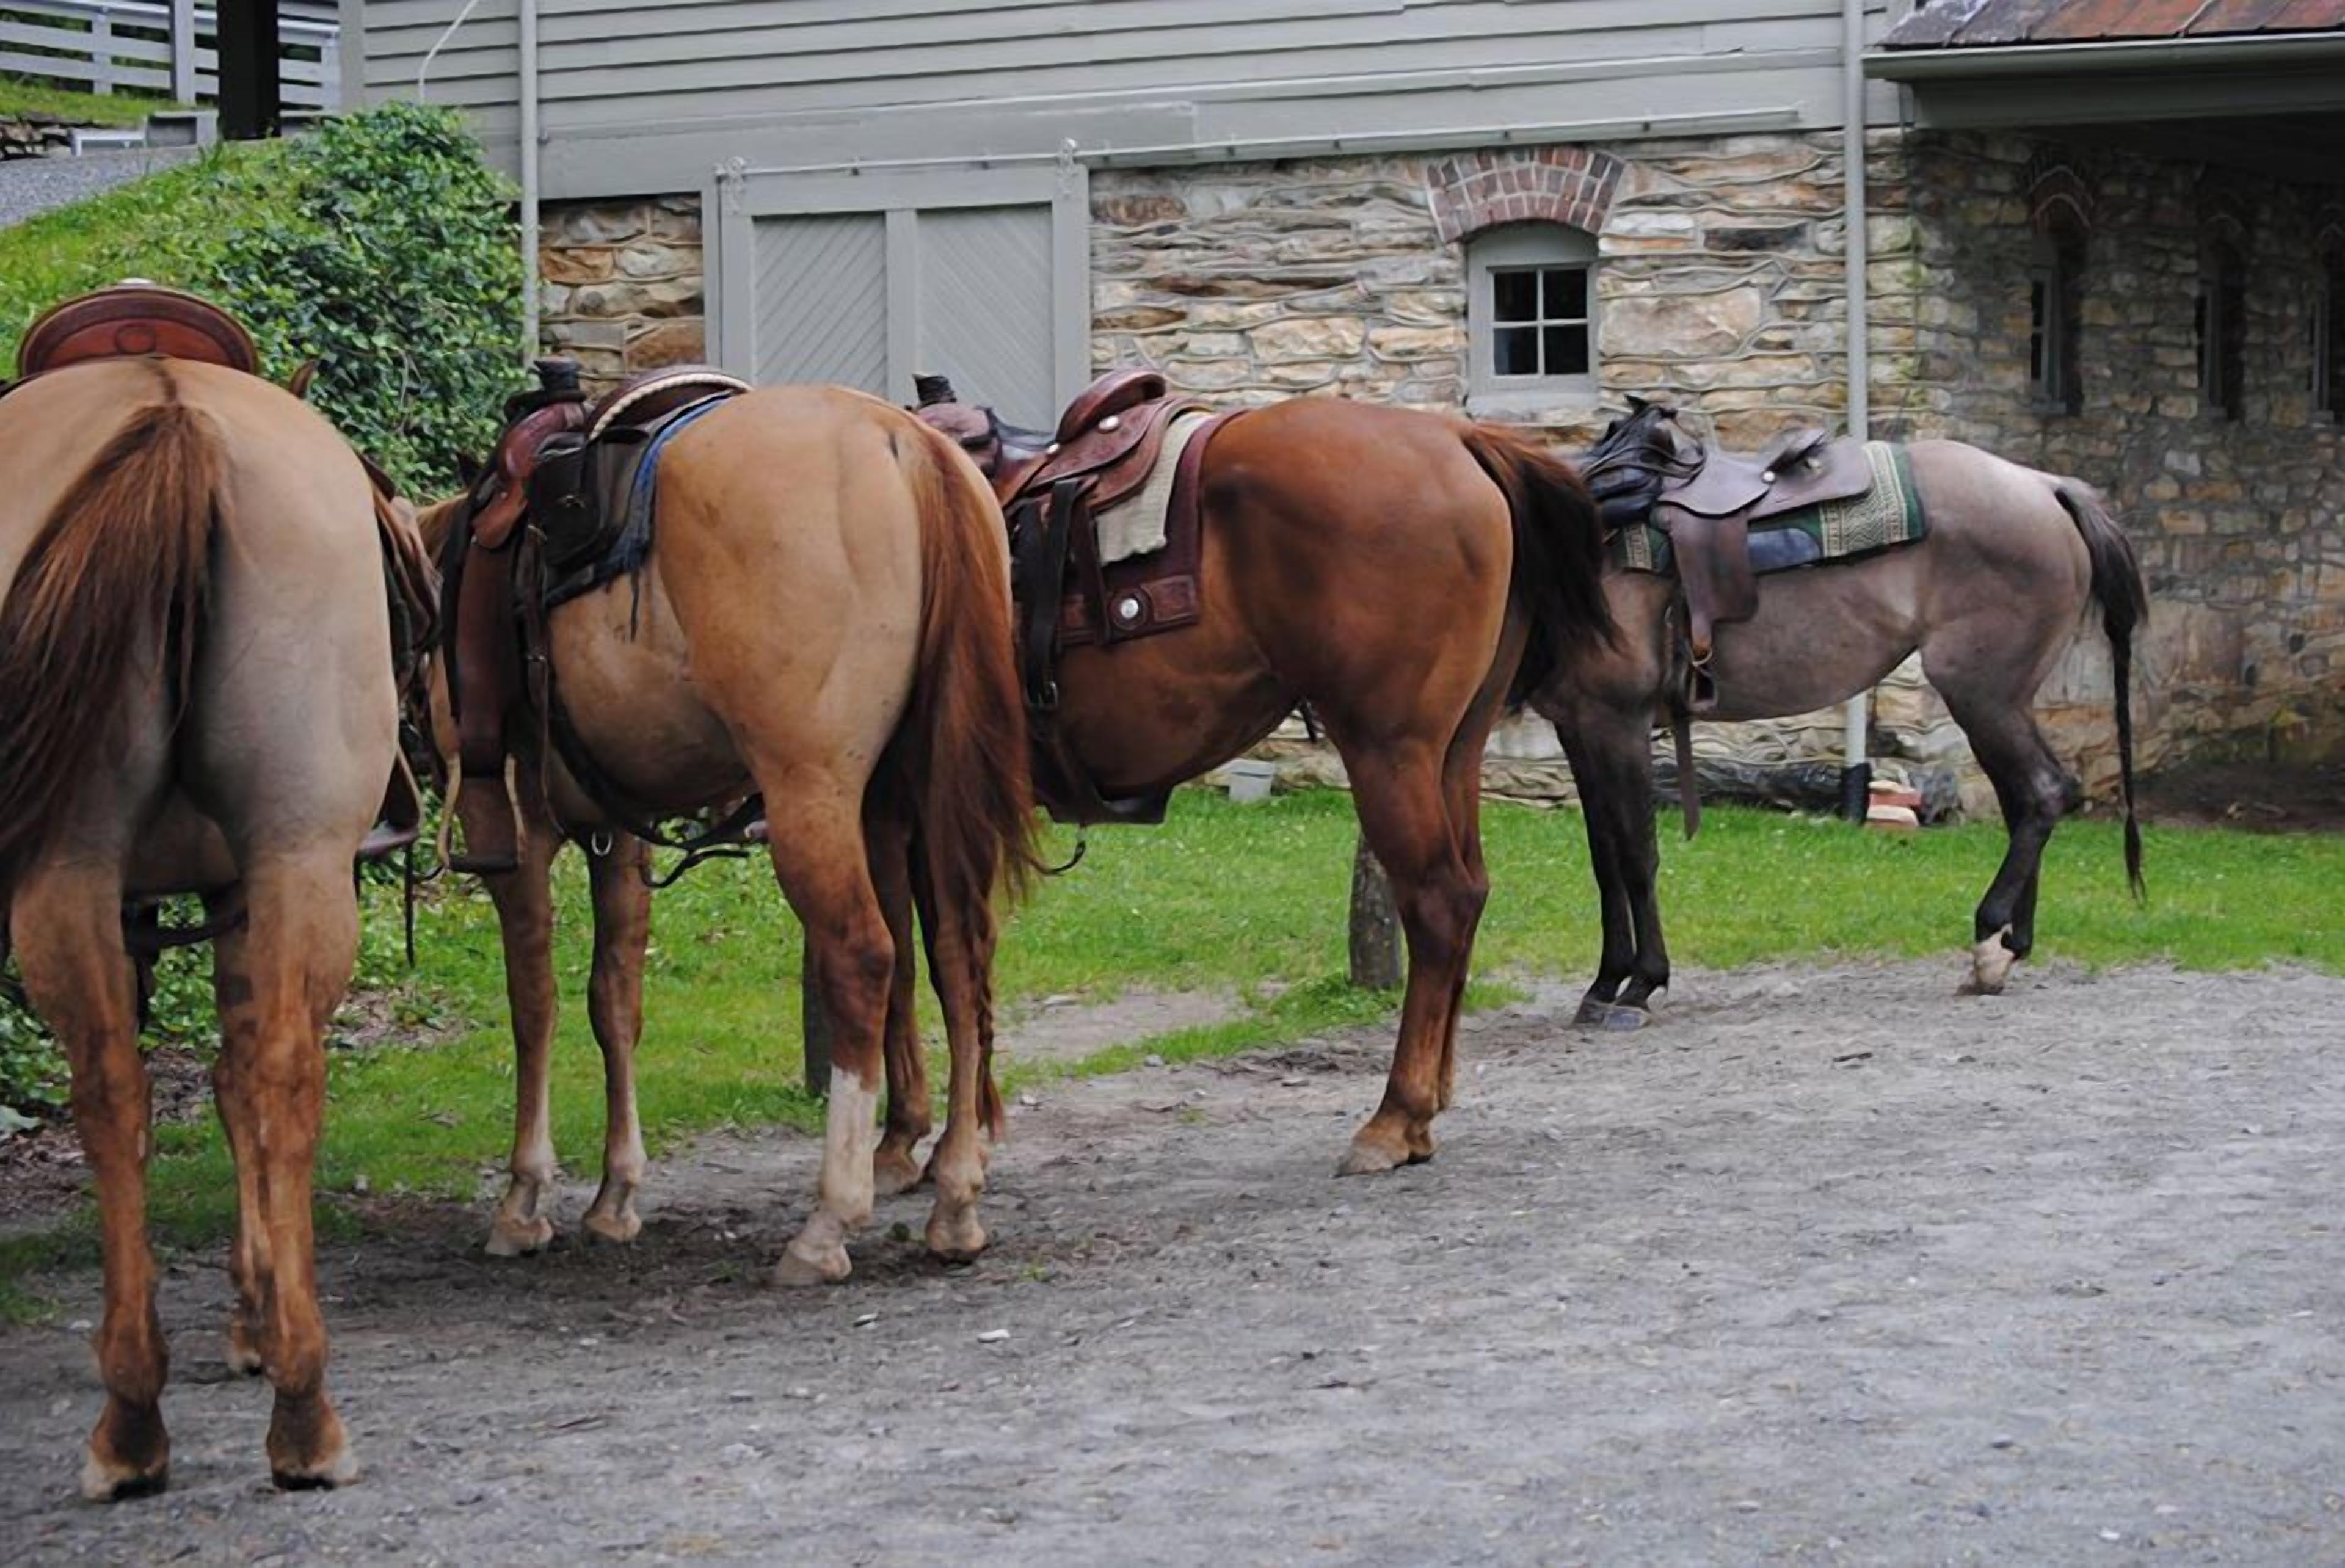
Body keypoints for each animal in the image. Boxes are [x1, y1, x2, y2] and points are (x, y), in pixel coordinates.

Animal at [0, 357, 417, 1498]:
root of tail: (171, 408)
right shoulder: (237, 885)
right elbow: (236, 1082)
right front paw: (256, 1315)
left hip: (97, 864)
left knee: (149, 1084)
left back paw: (159, 1412)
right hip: (287, 854)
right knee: (263, 1074)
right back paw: (282, 1409)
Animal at [419, 383, 1032, 1283]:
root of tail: (906, 442)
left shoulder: (510, 831)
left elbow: (534, 1004)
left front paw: (525, 1199)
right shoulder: (619, 838)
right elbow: (614, 1000)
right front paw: (614, 1196)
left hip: (812, 798)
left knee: (864, 958)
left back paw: (829, 1220)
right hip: (925, 796)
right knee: (958, 955)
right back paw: (955, 1199)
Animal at [915, 385, 1616, 1174]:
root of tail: (1458, 438)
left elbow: (928, 962)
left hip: (1390, 751)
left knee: (1441, 901)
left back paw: (1395, 1116)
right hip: (1455, 752)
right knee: (1469, 891)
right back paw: (1427, 1106)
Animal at [1536, 401, 2147, 1025]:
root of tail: (2047, 487)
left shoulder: (1619, 723)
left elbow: (1636, 856)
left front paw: (1641, 983)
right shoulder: (1578, 728)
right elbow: (1605, 858)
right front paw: (1604, 982)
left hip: (1983, 695)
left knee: (2044, 792)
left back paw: (1988, 941)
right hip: (2001, 702)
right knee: (2024, 800)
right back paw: (2007, 951)